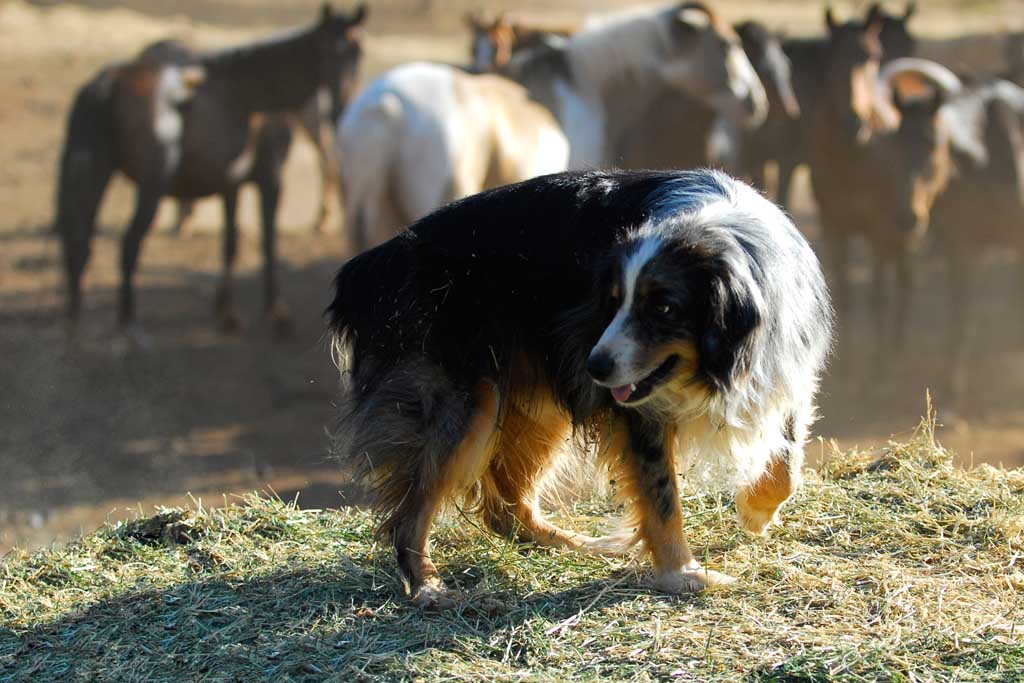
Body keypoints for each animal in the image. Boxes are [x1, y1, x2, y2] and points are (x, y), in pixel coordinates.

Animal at [57, 3, 368, 337]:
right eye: (324, 51)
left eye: (357, 52)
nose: (337, 109)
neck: (254, 93)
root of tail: (109, 81)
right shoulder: (270, 179)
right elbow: (268, 243)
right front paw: (275, 311)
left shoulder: (231, 186)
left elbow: (230, 244)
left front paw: (226, 311)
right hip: (150, 188)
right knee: (129, 244)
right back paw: (130, 326)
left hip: (95, 177)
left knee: (79, 244)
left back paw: (74, 328)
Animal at [327, 171, 831, 610]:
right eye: (611, 302)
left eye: (665, 308)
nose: (596, 367)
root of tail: (364, 269)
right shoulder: (638, 404)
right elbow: (660, 489)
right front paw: (686, 575)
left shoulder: (787, 360)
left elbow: (787, 456)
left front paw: (756, 514)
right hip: (462, 391)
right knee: (413, 508)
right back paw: (428, 587)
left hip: (537, 390)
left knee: (506, 507)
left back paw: (575, 543)